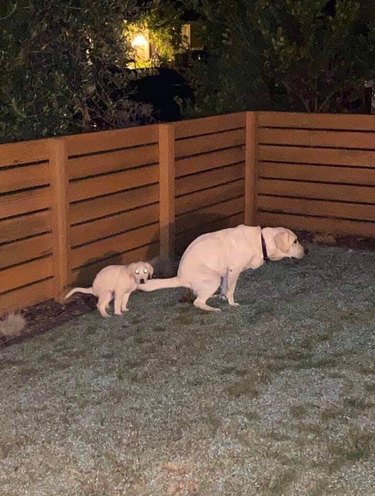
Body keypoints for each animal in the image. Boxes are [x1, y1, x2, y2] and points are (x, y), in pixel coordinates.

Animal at [137, 226, 306, 312]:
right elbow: (231, 290)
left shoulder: (225, 273)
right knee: (197, 302)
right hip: (213, 279)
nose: (307, 251)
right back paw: (211, 308)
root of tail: (180, 277)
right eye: (295, 241)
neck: (261, 241)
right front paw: (231, 303)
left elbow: (225, 289)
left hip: (215, 278)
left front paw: (222, 297)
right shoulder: (233, 271)